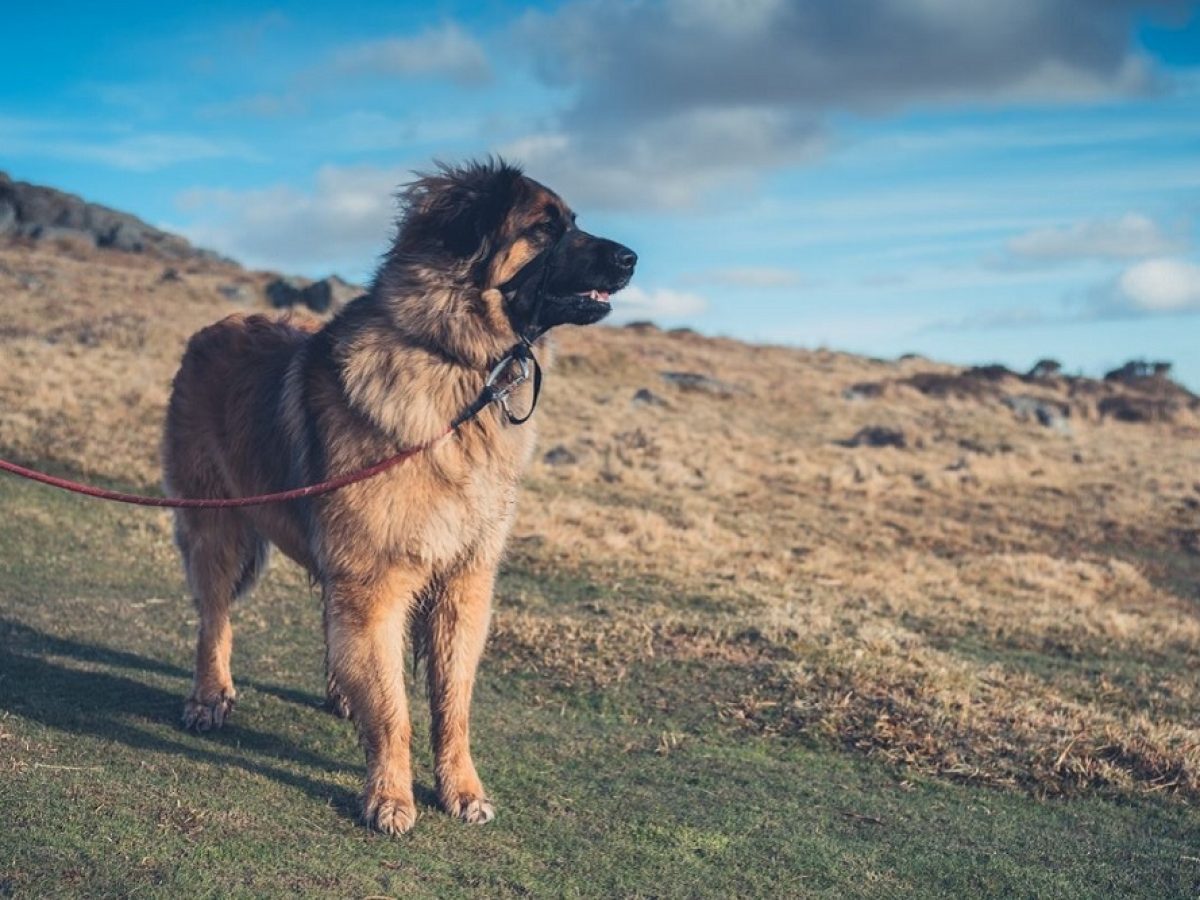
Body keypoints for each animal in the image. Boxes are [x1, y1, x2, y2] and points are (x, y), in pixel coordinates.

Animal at [165, 158, 643, 835]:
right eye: (545, 229)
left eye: (573, 222)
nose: (632, 258)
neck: (456, 367)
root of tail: (210, 329)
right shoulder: (377, 578)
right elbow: (394, 709)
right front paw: (390, 795)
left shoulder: (462, 583)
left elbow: (452, 704)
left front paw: (461, 788)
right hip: (217, 528)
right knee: (214, 618)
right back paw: (210, 696)